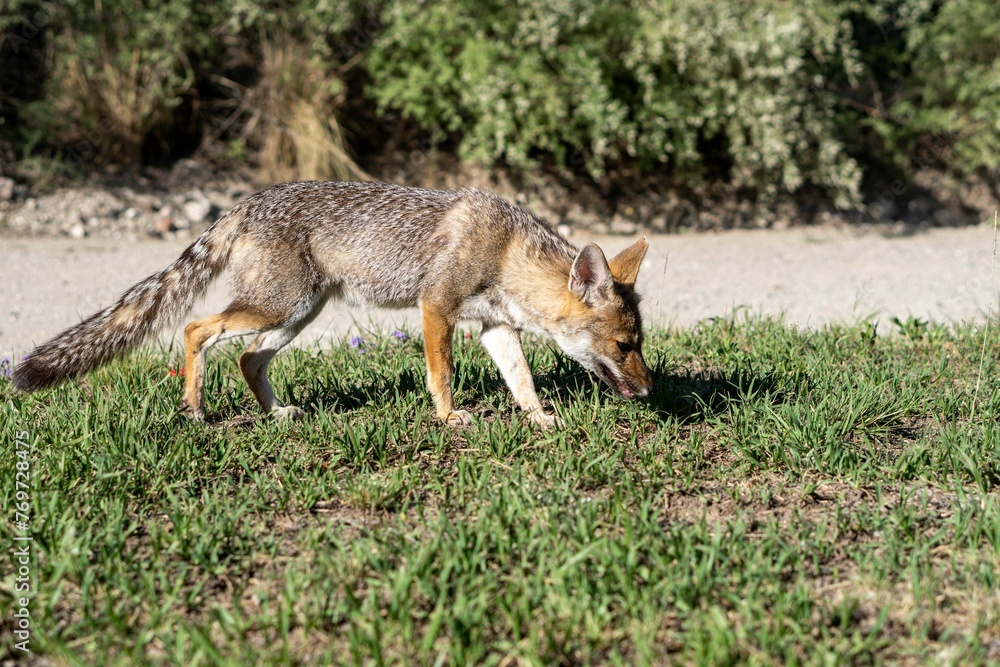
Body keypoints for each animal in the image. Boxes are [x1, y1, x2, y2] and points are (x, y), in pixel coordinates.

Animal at [13, 180, 654, 428]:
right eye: (625, 346)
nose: (651, 391)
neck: (505, 251)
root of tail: (247, 201)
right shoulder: (436, 307)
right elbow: (441, 372)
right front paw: (449, 418)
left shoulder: (494, 328)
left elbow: (522, 381)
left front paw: (540, 418)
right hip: (277, 306)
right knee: (197, 328)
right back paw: (194, 408)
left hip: (297, 314)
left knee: (246, 357)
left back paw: (276, 413)